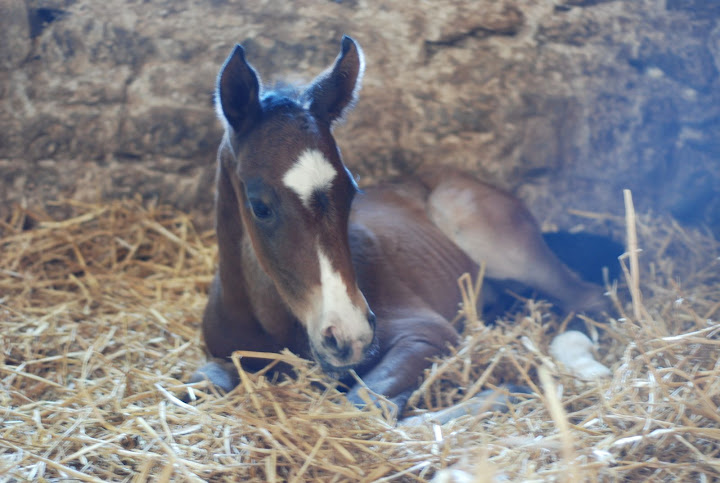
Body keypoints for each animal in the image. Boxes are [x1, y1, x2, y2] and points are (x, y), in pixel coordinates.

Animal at [188, 36, 612, 416]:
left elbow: (364, 404)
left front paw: (505, 393)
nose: (351, 336)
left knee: (588, 297)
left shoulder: (426, 331)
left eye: (352, 190)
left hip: (494, 241)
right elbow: (200, 379)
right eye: (260, 206)